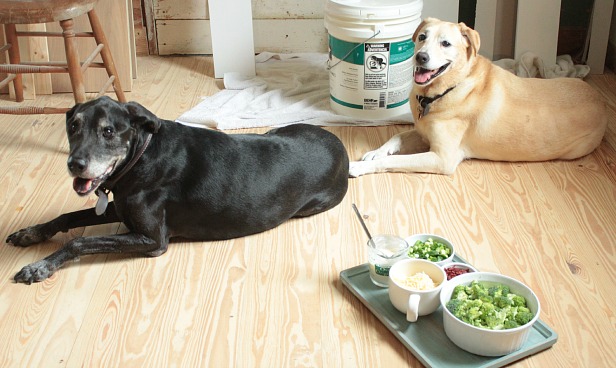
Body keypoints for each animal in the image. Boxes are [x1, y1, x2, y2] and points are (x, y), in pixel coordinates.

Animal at [6, 96, 352, 284]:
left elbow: (80, 243)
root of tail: (340, 145)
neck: (142, 154)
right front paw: (30, 233)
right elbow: (67, 217)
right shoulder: (119, 207)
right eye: (73, 126)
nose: (74, 164)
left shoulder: (152, 239)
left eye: (108, 131)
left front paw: (39, 266)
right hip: (274, 131)